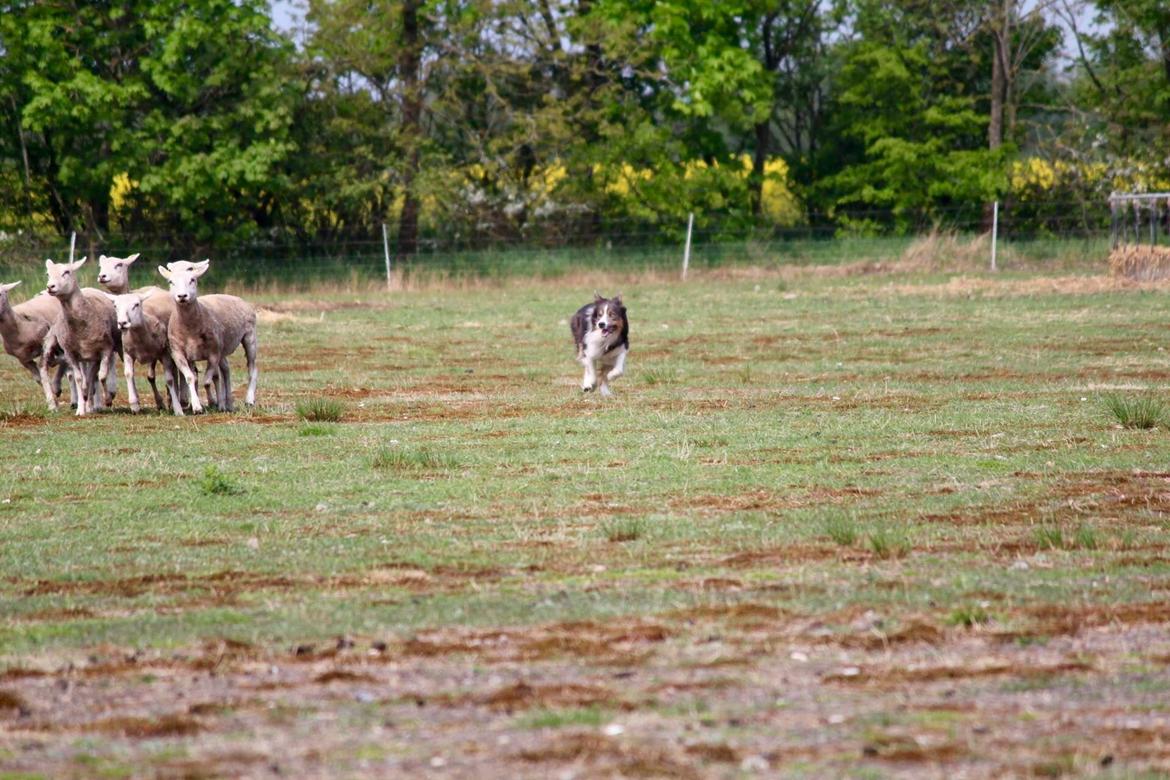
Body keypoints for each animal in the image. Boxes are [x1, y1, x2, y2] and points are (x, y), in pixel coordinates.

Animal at [40, 257, 119, 418]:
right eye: (47, 273)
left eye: (66, 272)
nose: (50, 287)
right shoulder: (71, 353)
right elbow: (78, 379)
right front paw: (80, 409)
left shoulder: (105, 349)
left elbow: (101, 376)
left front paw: (107, 399)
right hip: (64, 348)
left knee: (93, 378)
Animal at [156, 259, 257, 413]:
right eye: (170, 281)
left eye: (192, 279)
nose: (182, 296)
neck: (190, 326)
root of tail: (235, 297)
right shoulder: (179, 353)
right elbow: (191, 377)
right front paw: (197, 406)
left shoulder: (213, 353)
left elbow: (208, 380)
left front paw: (213, 401)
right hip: (223, 349)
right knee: (226, 370)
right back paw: (228, 403)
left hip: (249, 337)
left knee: (251, 368)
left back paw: (248, 400)